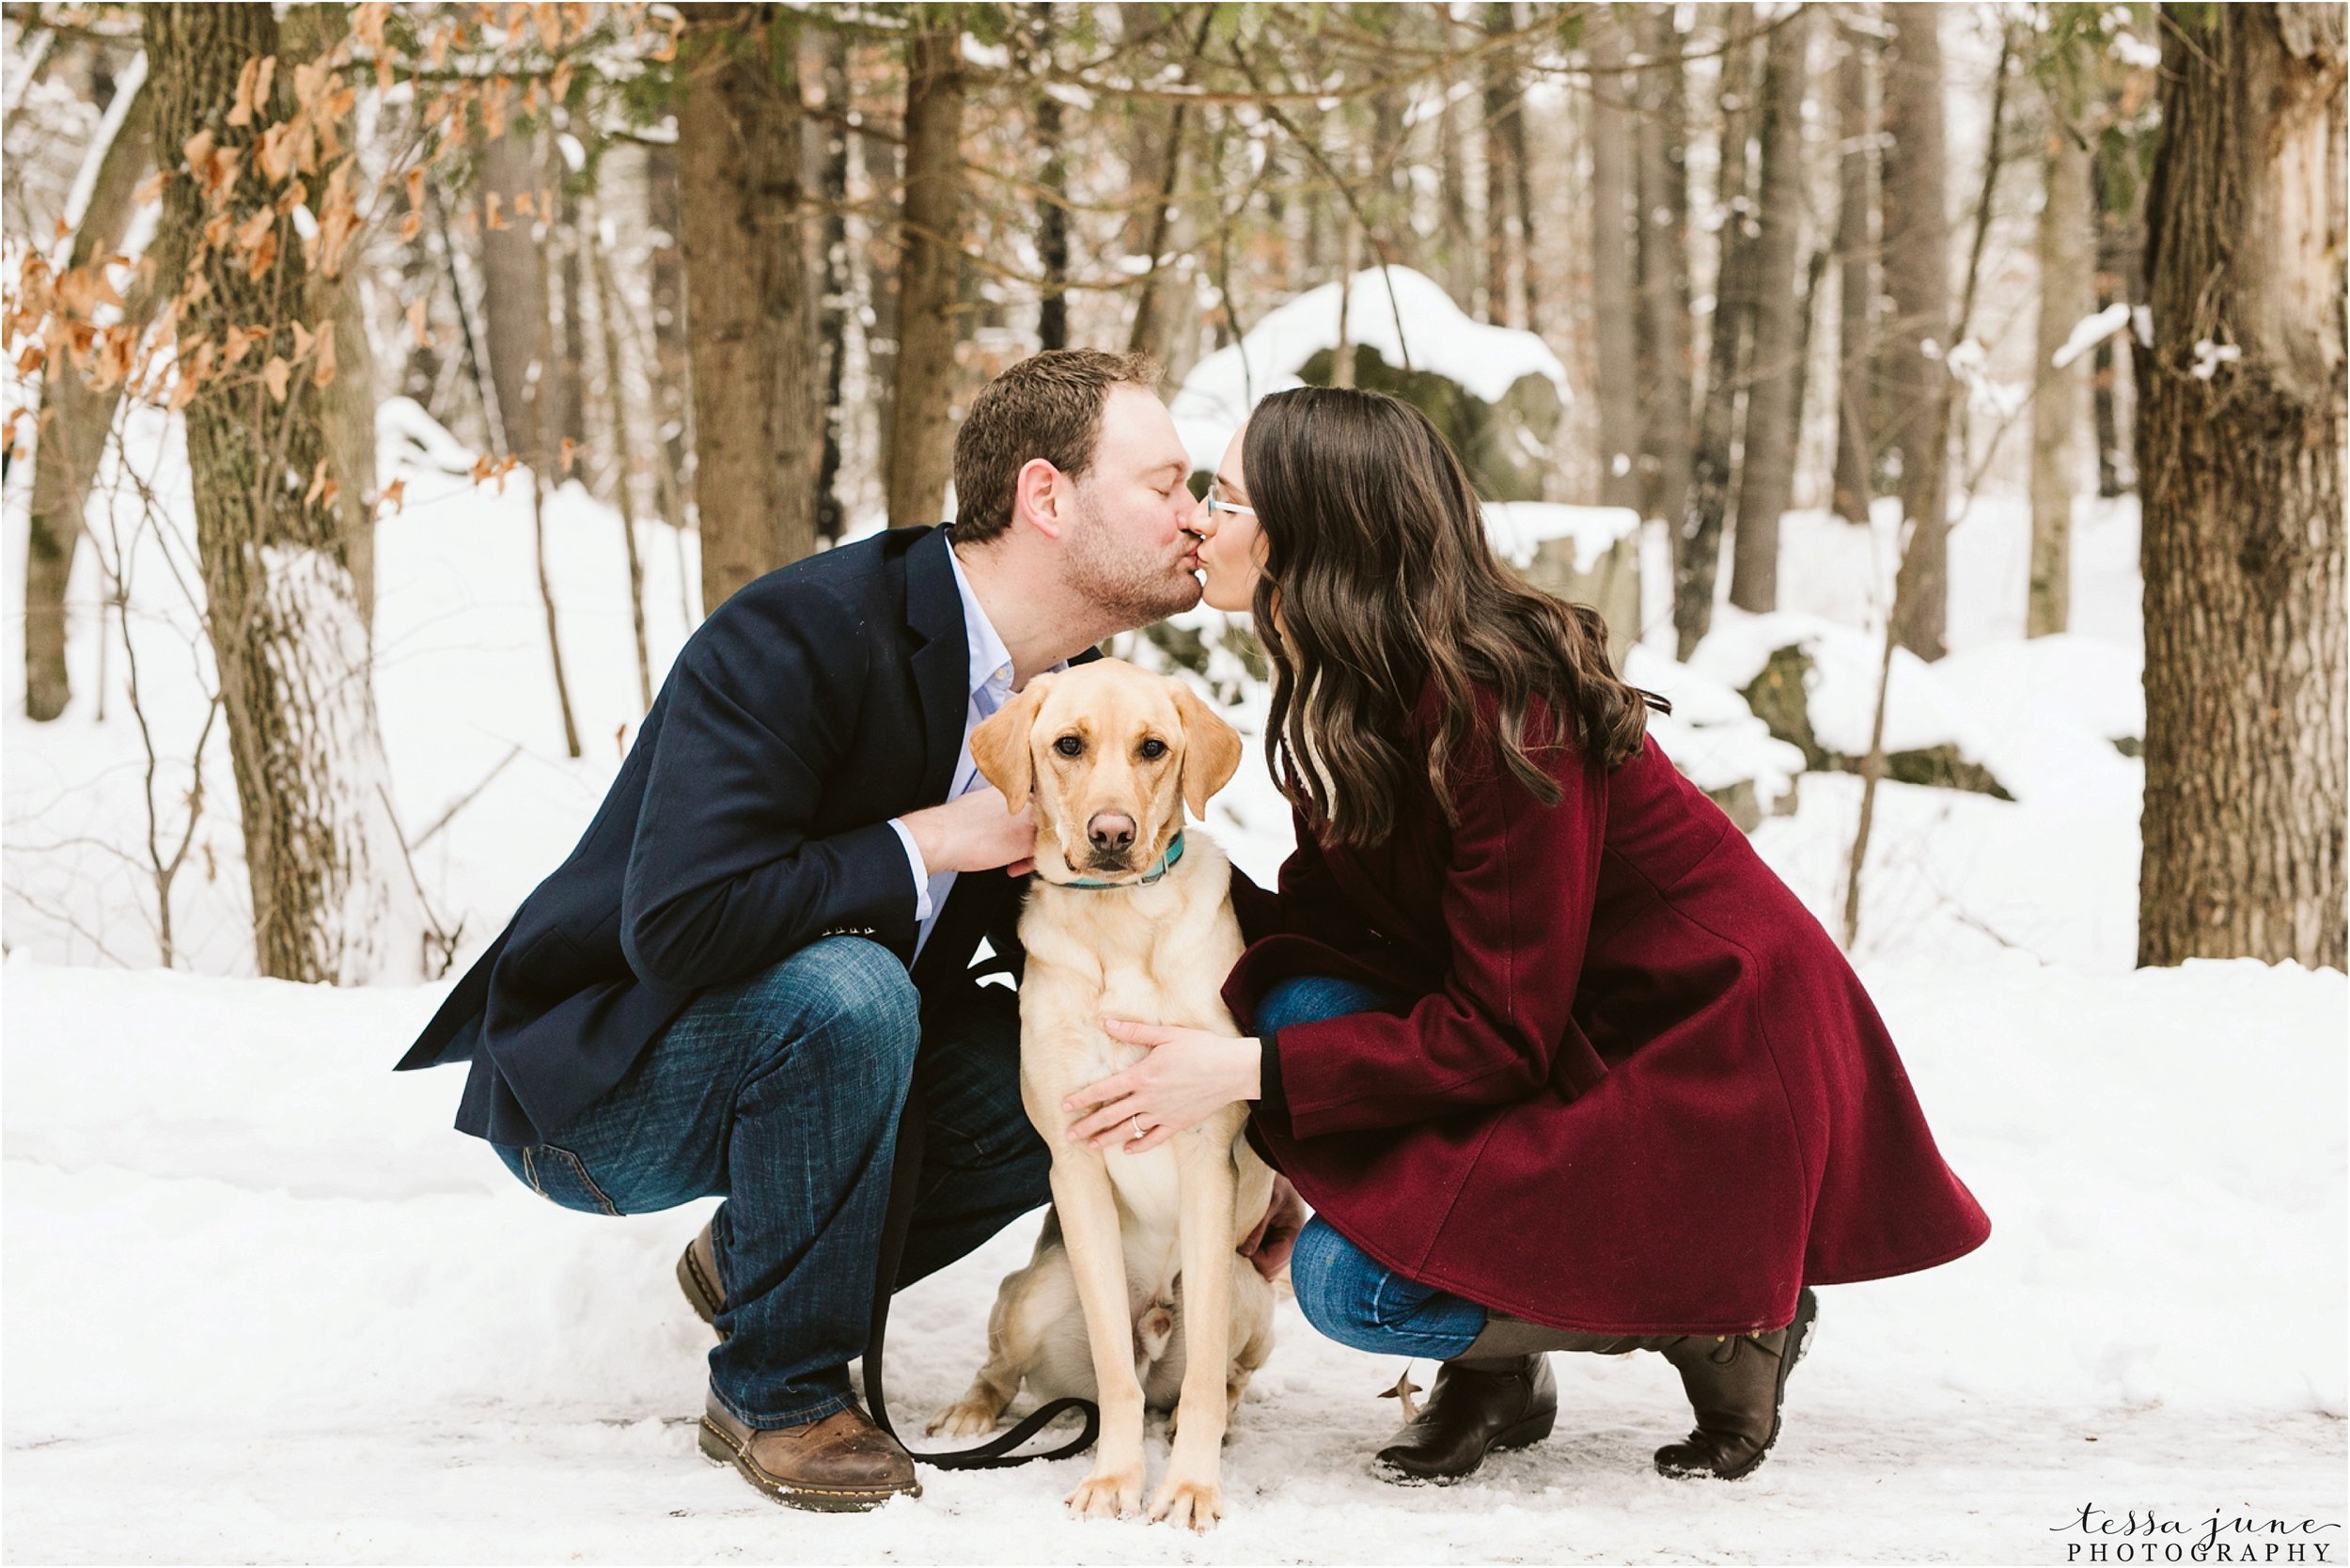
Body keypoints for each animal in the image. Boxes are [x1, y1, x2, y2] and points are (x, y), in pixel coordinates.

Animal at [931, 658, 1278, 1523]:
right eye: (1068, 745)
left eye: (1154, 747)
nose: (1113, 833)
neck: (1120, 920)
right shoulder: (1076, 1159)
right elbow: (1116, 1376)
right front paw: (1115, 1478)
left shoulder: (1204, 1157)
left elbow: (1202, 1383)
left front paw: (1188, 1486)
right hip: (1032, 1296)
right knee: (1010, 1365)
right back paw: (972, 1412)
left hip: (1247, 1293)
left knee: (1222, 1376)